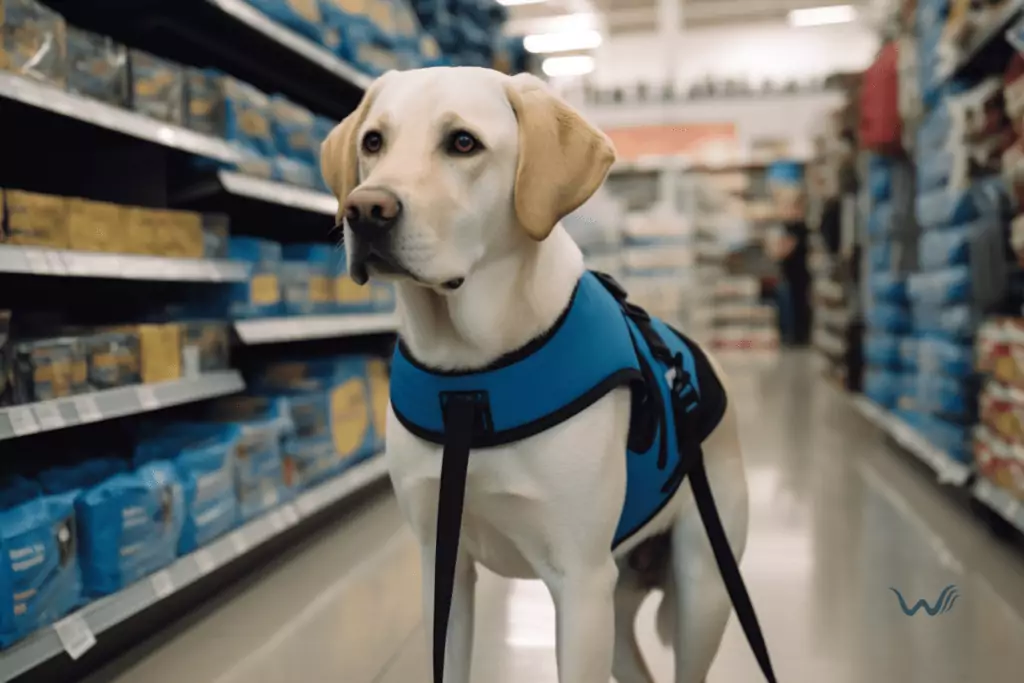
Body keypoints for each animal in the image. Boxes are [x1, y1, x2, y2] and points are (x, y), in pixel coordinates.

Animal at [319, 68, 761, 683]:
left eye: (463, 143)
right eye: (373, 142)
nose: (364, 209)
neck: (471, 378)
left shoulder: (579, 584)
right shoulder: (444, 569)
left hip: (704, 588)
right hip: (617, 605)